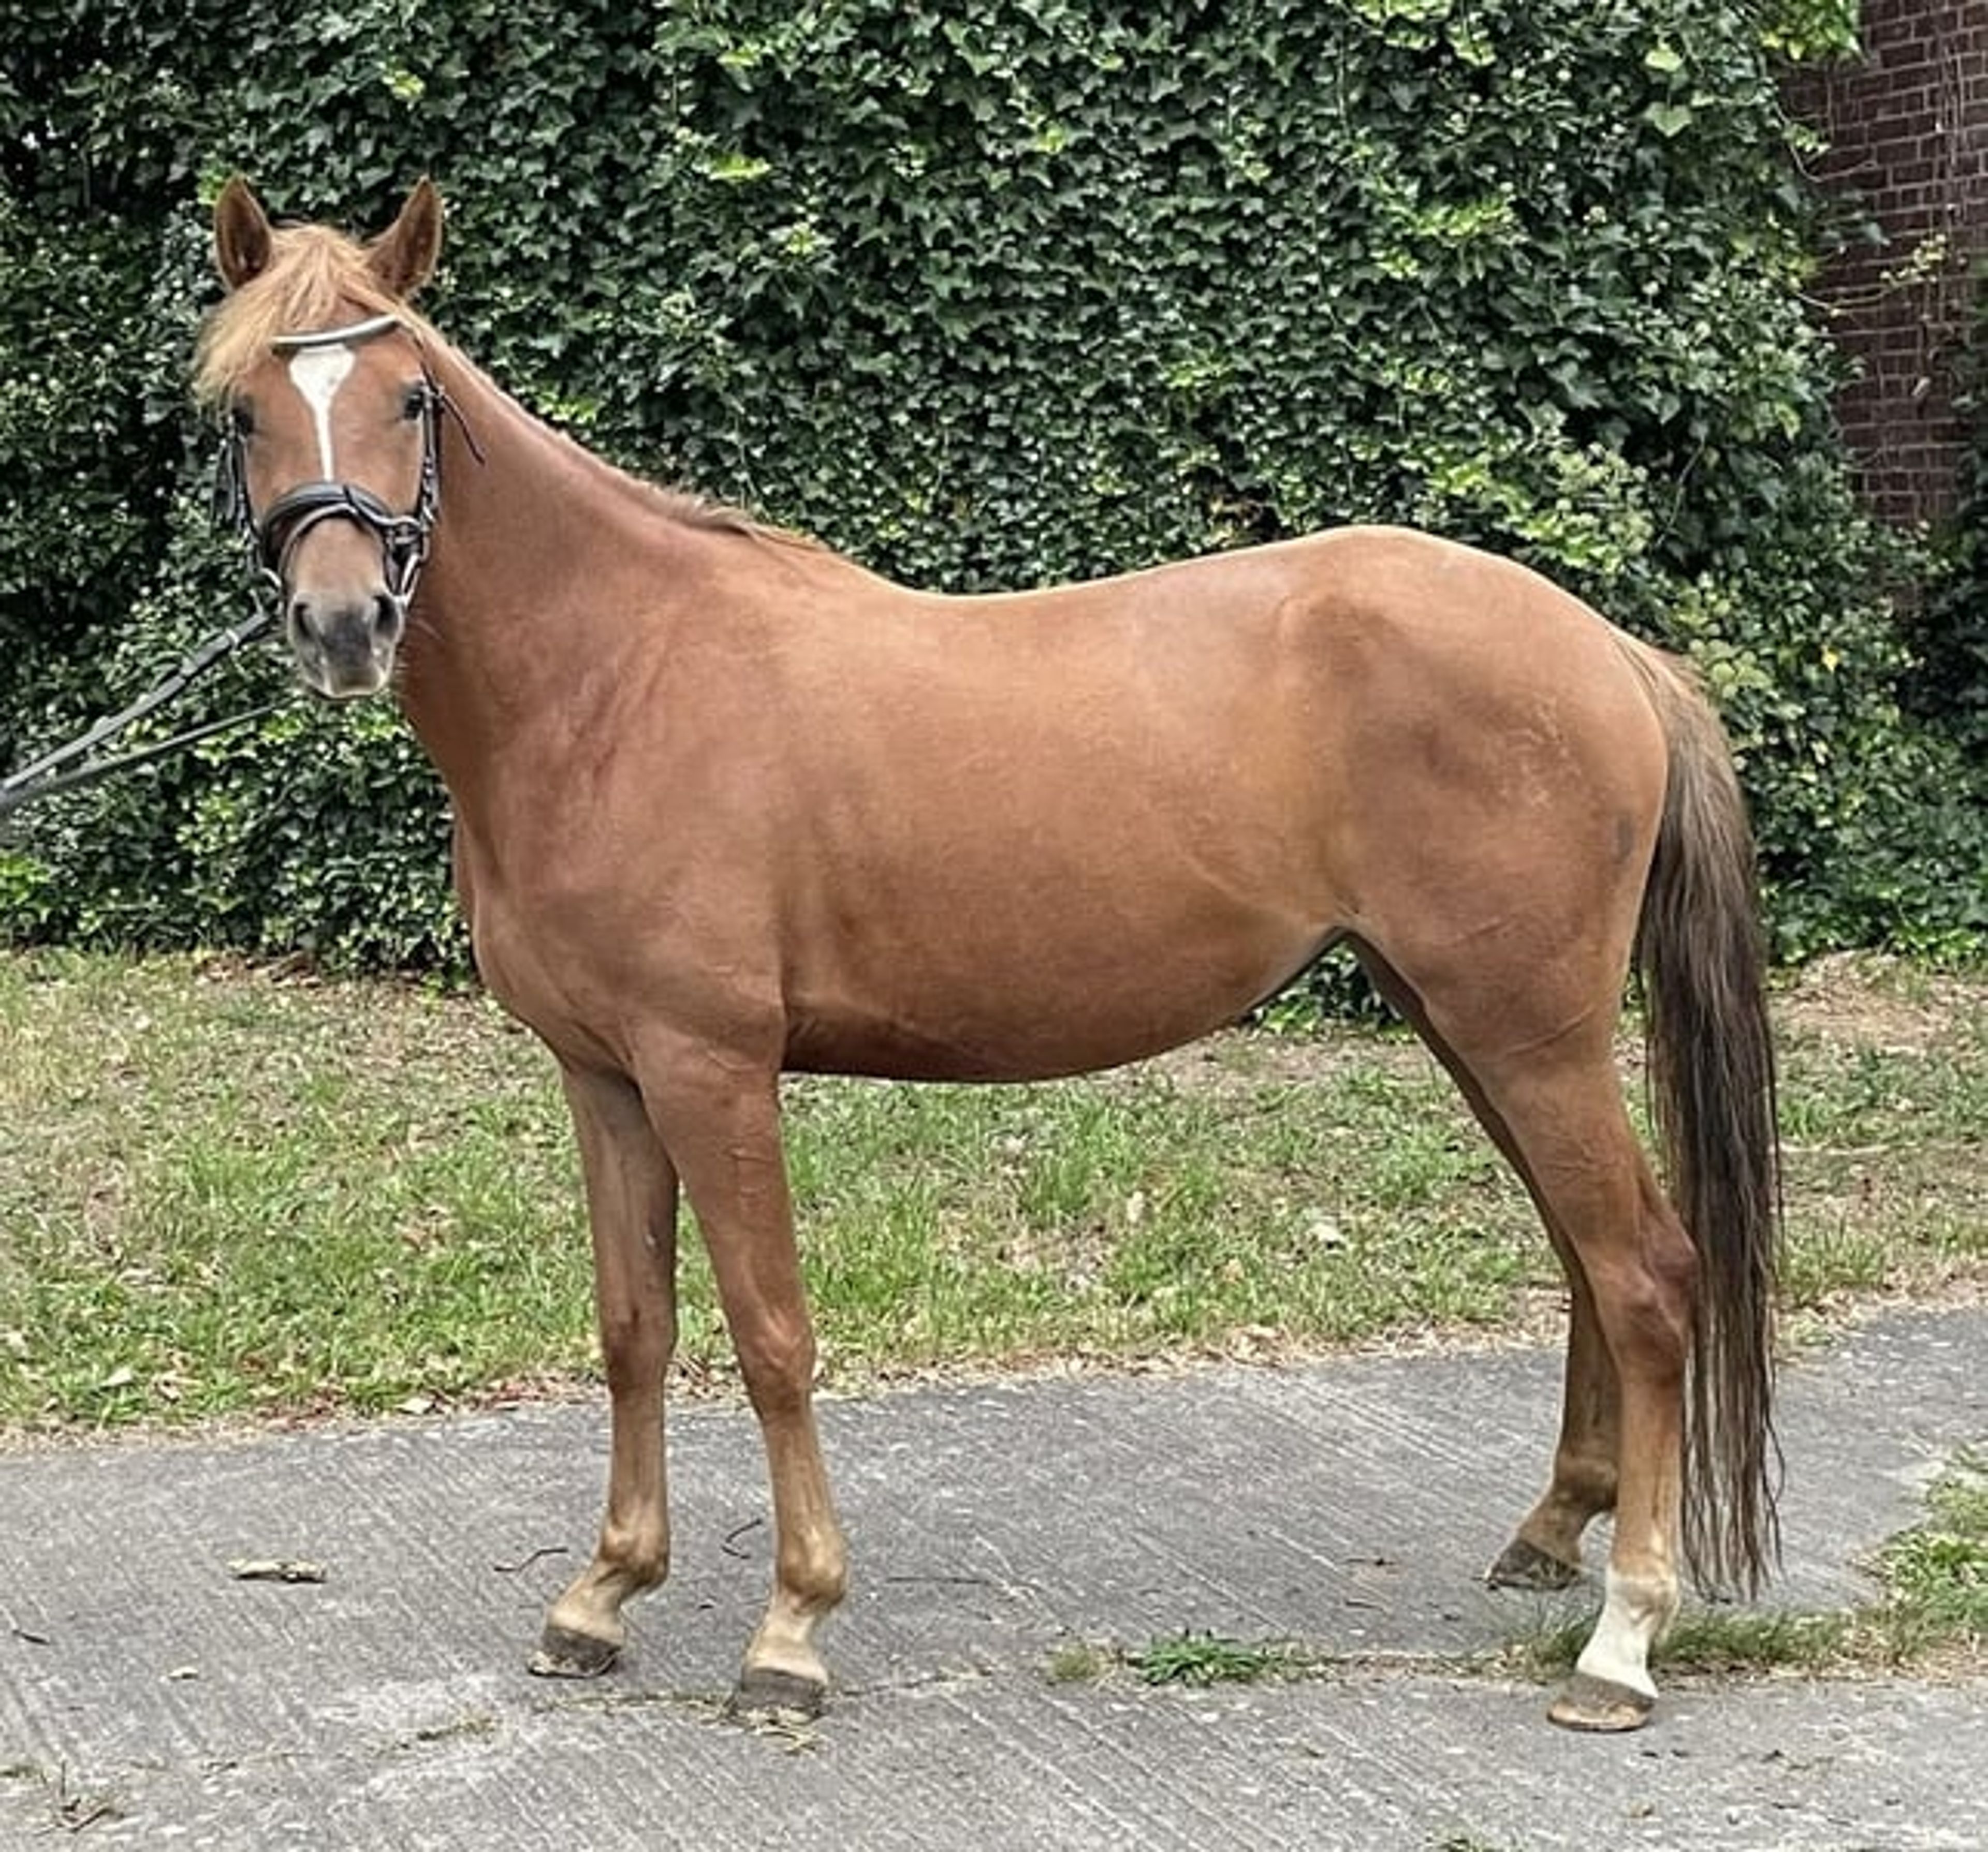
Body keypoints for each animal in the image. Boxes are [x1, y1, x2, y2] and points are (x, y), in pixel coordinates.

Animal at [198, 176, 1781, 1733]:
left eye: (410, 397)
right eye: (243, 410)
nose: (342, 624)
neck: (617, 680)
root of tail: (1614, 654)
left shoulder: (713, 1069)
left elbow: (770, 1331)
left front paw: (791, 1628)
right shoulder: (605, 1077)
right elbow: (634, 1327)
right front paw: (602, 1595)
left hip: (1526, 1033)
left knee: (1646, 1274)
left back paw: (1623, 1638)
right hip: (1475, 1027)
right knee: (1585, 1256)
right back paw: (1553, 1536)